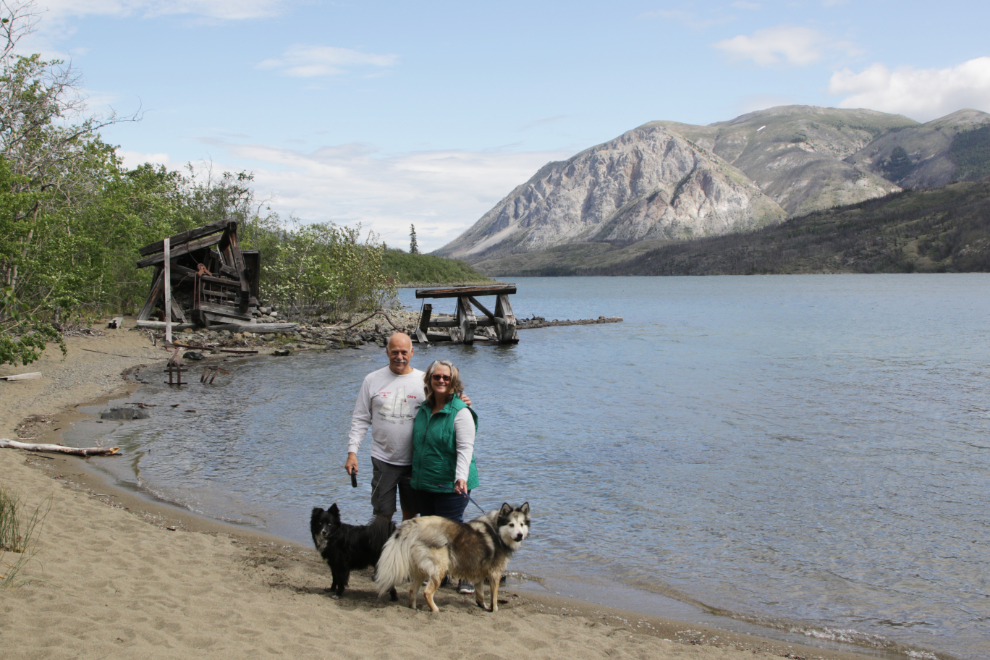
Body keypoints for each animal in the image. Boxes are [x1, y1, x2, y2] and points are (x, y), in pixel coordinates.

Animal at [376, 506, 532, 612]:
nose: (520, 535)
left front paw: (482, 606)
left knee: (413, 590)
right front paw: (494, 609)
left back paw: (413, 608)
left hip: (421, 571)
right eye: (511, 524)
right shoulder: (494, 573)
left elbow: (481, 594)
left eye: (522, 524)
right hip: (439, 569)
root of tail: (415, 524)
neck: (497, 530)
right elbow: (493, 597)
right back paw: (435, 610)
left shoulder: (479, 573)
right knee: (427, 592)